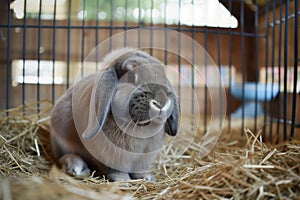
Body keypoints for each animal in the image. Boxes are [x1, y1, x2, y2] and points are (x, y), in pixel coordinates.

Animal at [50, 47, 179, 182]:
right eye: (130, 76)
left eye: (162, 76)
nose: (161, 102)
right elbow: (116, 170)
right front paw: (122, 180)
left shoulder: (144, 159)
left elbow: (140, 170)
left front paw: (147, 178)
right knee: (63, 157)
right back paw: (77, 167)